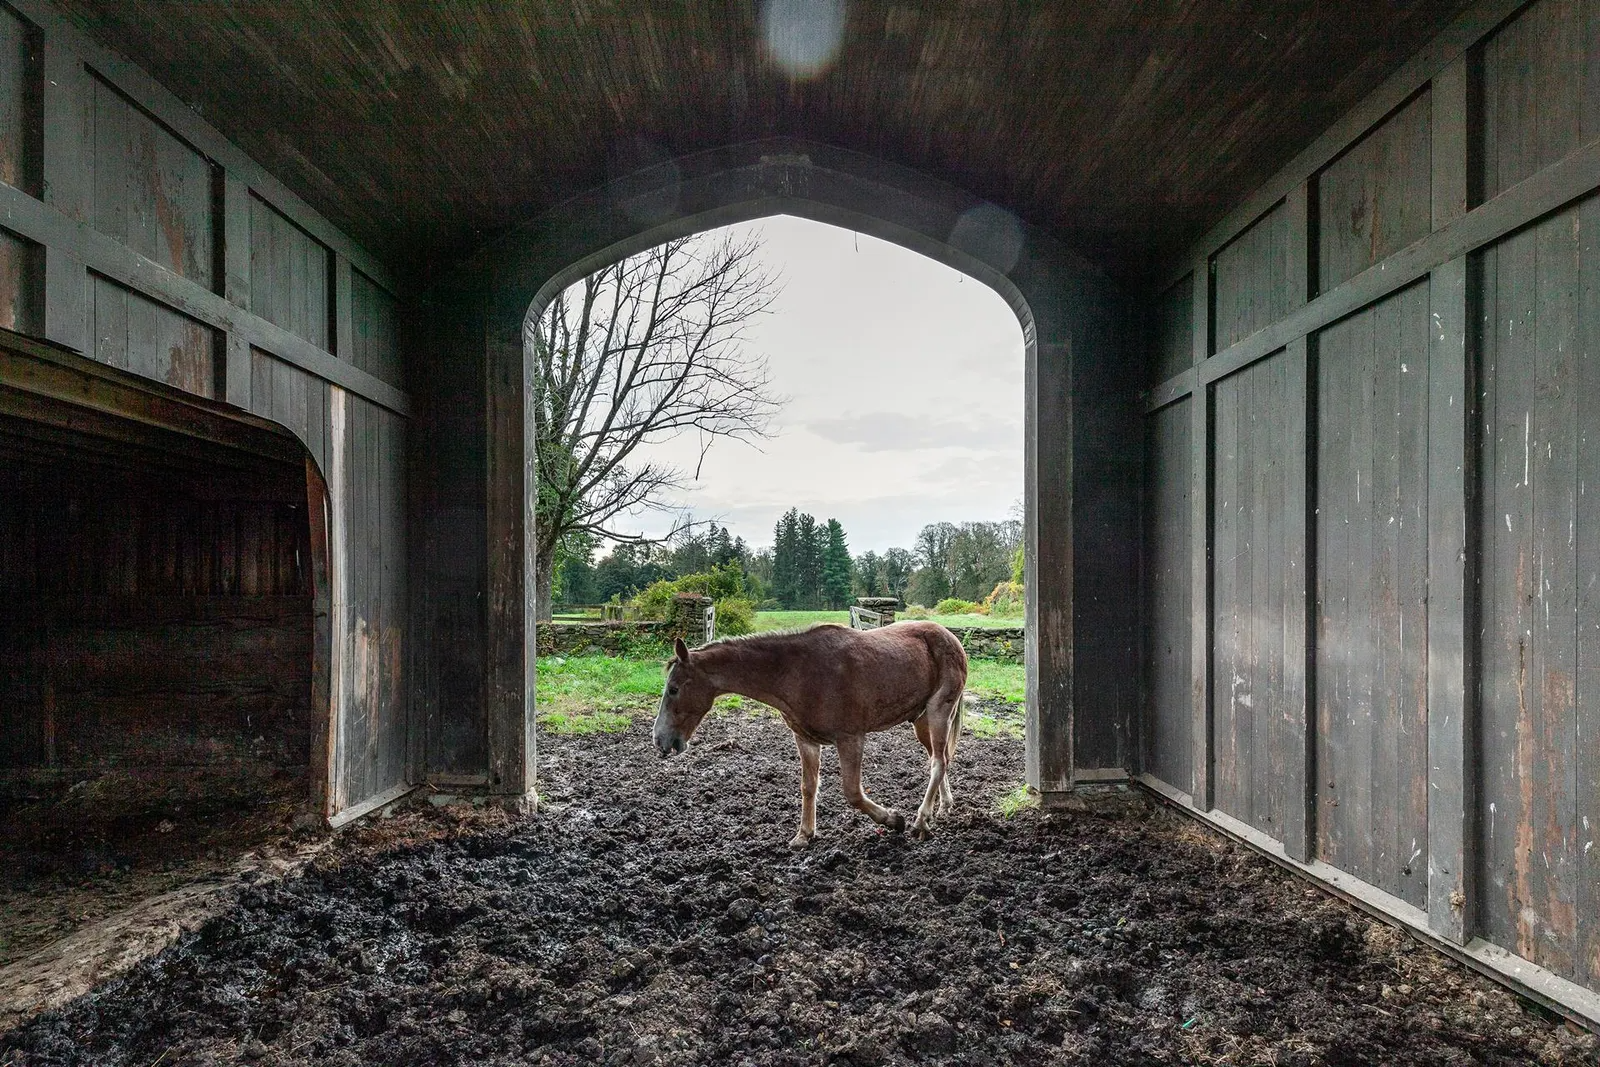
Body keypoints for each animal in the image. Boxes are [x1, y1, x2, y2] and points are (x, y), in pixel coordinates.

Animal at [646, 620, 966, 844]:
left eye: (673, 689)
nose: (660, 739)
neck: (797, 672)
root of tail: (950, 637)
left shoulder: (851, 738)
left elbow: (853, 793)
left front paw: (893, 820)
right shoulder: (806, 740)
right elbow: (808, 787)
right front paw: (804, 834)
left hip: (939, 712)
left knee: (938, 762)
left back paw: (920, 822)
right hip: (921, 721)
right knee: (941, 760)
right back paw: (943, 806)